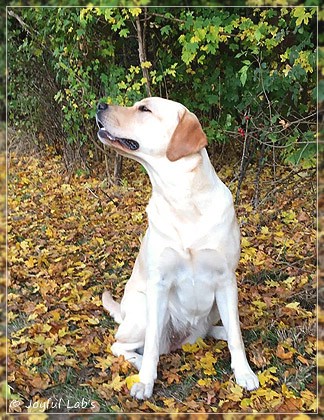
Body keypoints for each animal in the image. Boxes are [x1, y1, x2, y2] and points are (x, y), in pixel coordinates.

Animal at [95, 97, 260, 398]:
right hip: (142, 309)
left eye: (144, 109)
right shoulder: (159, 283)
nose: (100, 104)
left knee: (218, 329)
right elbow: (150, 347)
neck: (183, 200)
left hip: (216, 306)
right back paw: (140, 363)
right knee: (122, 344)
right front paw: (145, 382)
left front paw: (244, 372)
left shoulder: (226, 280)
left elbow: (237, 337)